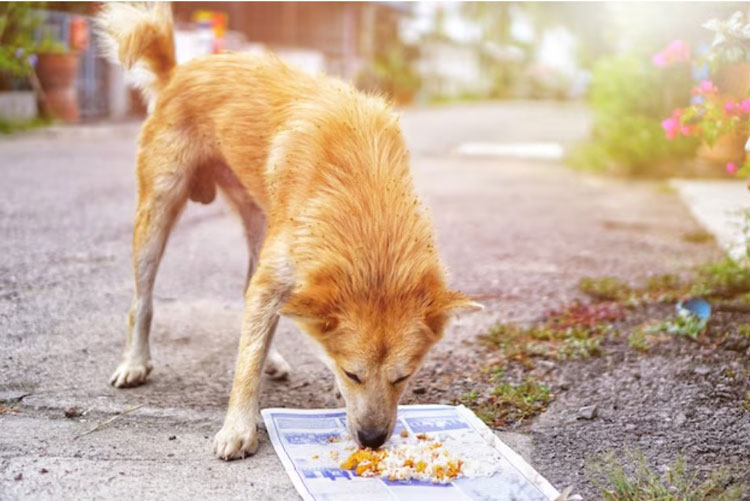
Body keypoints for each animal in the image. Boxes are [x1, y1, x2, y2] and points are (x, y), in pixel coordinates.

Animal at [97, 1, 482, 458]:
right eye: (352, 373)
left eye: (403, 376)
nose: (372, 441)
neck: (362, 193)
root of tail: (180, 71)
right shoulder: (275, 277)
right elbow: (245, 361)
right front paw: (238, 427)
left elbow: (258, 333)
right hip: (158, 214)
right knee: (144, 301)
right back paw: (135, 362)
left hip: (259, 225)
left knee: (251, 301)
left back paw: (272, 357)